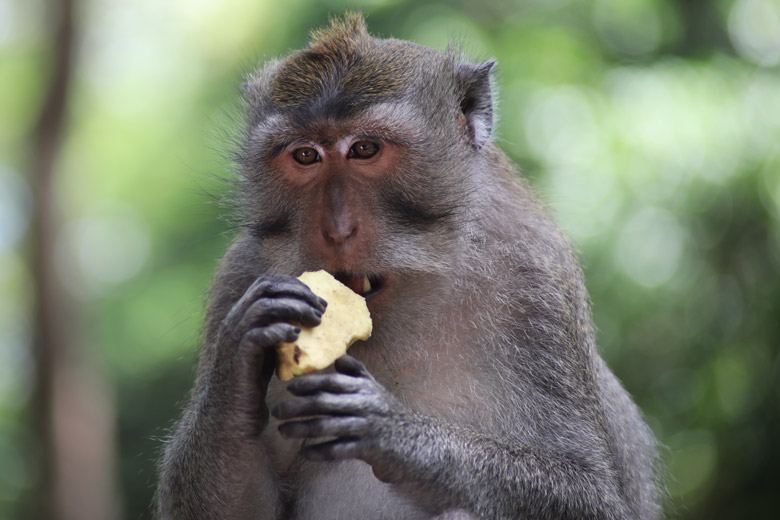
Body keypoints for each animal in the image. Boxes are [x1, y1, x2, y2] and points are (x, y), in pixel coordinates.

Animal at [155, 13, 660, 520]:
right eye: (305, 156)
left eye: (364, 149)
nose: (336, 230)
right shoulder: (238, 273)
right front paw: (237, 362)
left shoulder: (537, 282)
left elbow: (590, 491)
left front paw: (391, 430)